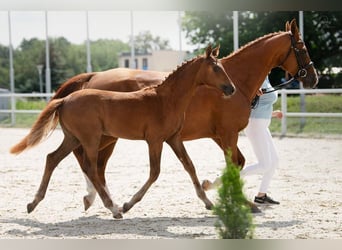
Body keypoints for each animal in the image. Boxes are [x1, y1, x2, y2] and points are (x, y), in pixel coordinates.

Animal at [10, 45, 235, 219]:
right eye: (216, 68)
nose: (231, 89)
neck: (166, 100)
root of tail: (65, 99)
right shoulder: (154, 140)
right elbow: (155, 172)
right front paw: (128, 204)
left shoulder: (173, 138)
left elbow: (189, 166)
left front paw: (207, 202)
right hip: (91, 139)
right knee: (91, 168)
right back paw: (114, 208)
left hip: (74, 138)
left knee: (52, 158)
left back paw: (33, 203)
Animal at [45, 19, 318, 211]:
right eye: (302, 48)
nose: (314, 78)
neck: (236, 81)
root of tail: (92, 77)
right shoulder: (227, 134)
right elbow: (234, 164)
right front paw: (232, 197)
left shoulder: (219, 136)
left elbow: (235, 164)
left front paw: (218, 192)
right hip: (106, 137)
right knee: (91, 164)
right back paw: (102, 200)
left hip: (105, 137)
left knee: (90, 165)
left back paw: (97, 199)